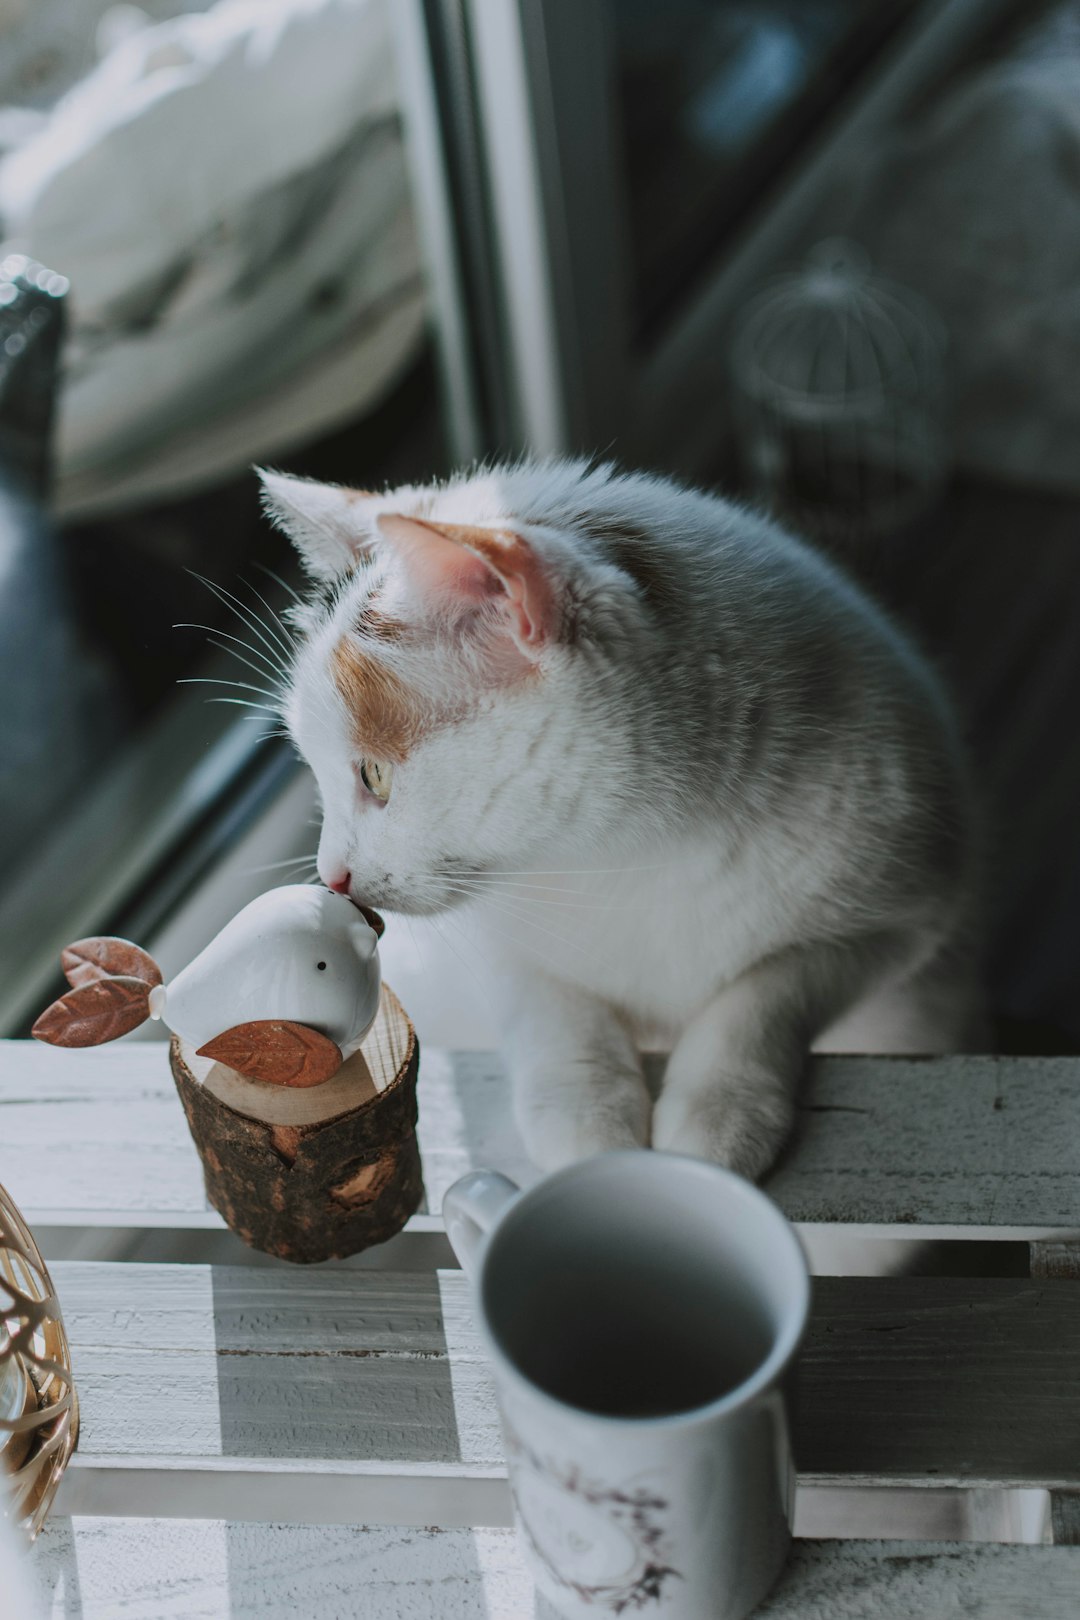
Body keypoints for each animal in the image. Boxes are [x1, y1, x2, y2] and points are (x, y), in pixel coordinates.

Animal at [262, 456, 977, 1179]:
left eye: (374, 777)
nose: (331, 874)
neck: (619, 856)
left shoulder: (897, 925)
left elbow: (767, 992)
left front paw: (720, 1109)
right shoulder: (495, 948)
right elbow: (547, 1003)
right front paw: (587, 1120)